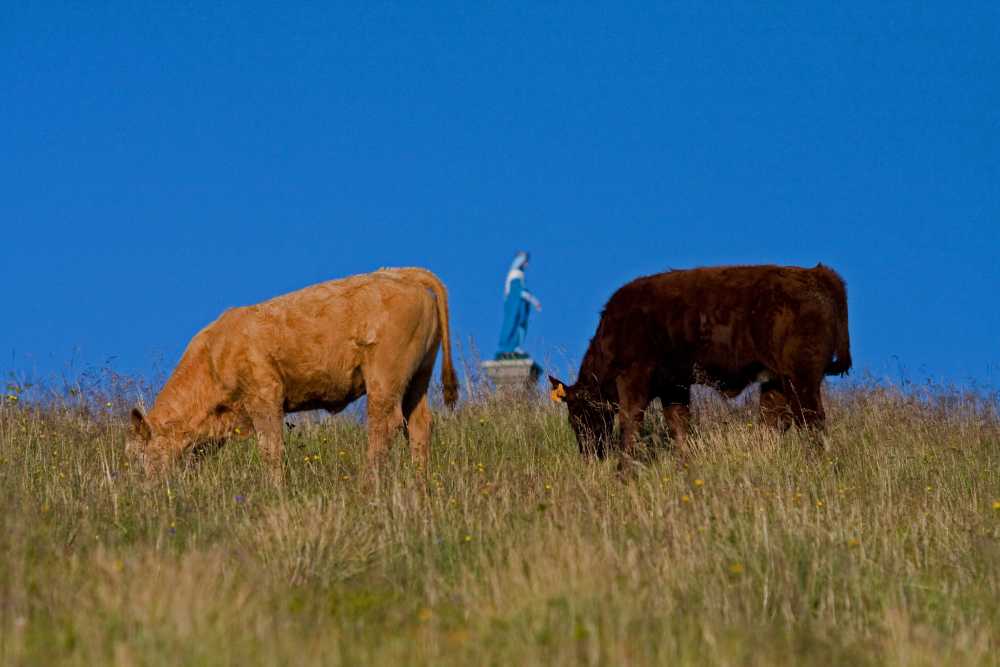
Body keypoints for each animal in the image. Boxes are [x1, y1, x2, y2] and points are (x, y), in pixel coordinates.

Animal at [122, 266, 460, 474]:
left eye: (140, 456)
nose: (143, 489)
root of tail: (400, 274)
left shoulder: (265, 395)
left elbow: (270, 449)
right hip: (417, 380)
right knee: (418, 426)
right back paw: (418, 484)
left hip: (384, 379)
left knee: (384, 426)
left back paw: (369, 483)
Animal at [548, 264, 852, 462]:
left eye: (578, 414)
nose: (589, 454)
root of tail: (816, 274)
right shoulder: (674, 388)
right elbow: (680, 427)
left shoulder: (635, 381)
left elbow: (630, 423)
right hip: (776, 382)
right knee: (774, 422)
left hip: (801, 379)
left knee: (812, 422)